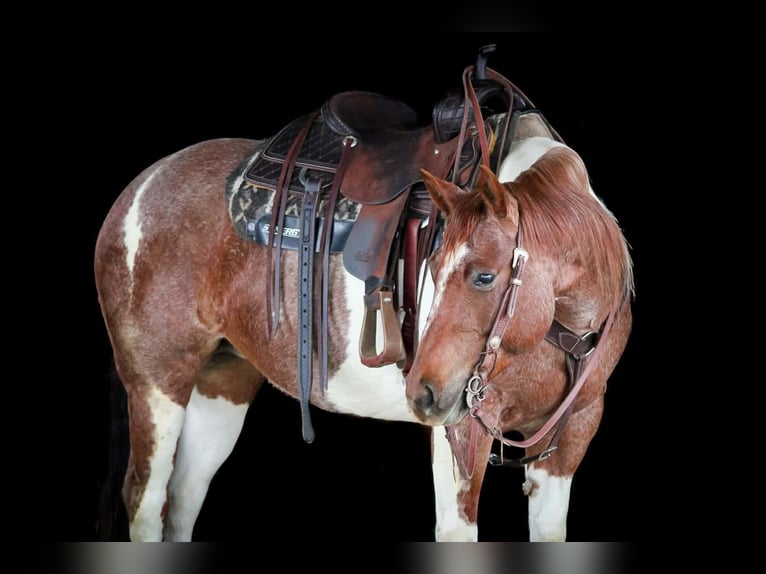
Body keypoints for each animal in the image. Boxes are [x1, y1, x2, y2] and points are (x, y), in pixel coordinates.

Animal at [94, 50, 633, 542]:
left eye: (484, 277)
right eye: (432, 265)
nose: (423, 393)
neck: (563, 325)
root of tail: (137, 190)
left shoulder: (572, 435)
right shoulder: (461, 435)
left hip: (222, 381)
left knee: (183, 498)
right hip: (158, 384)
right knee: (147, 502)